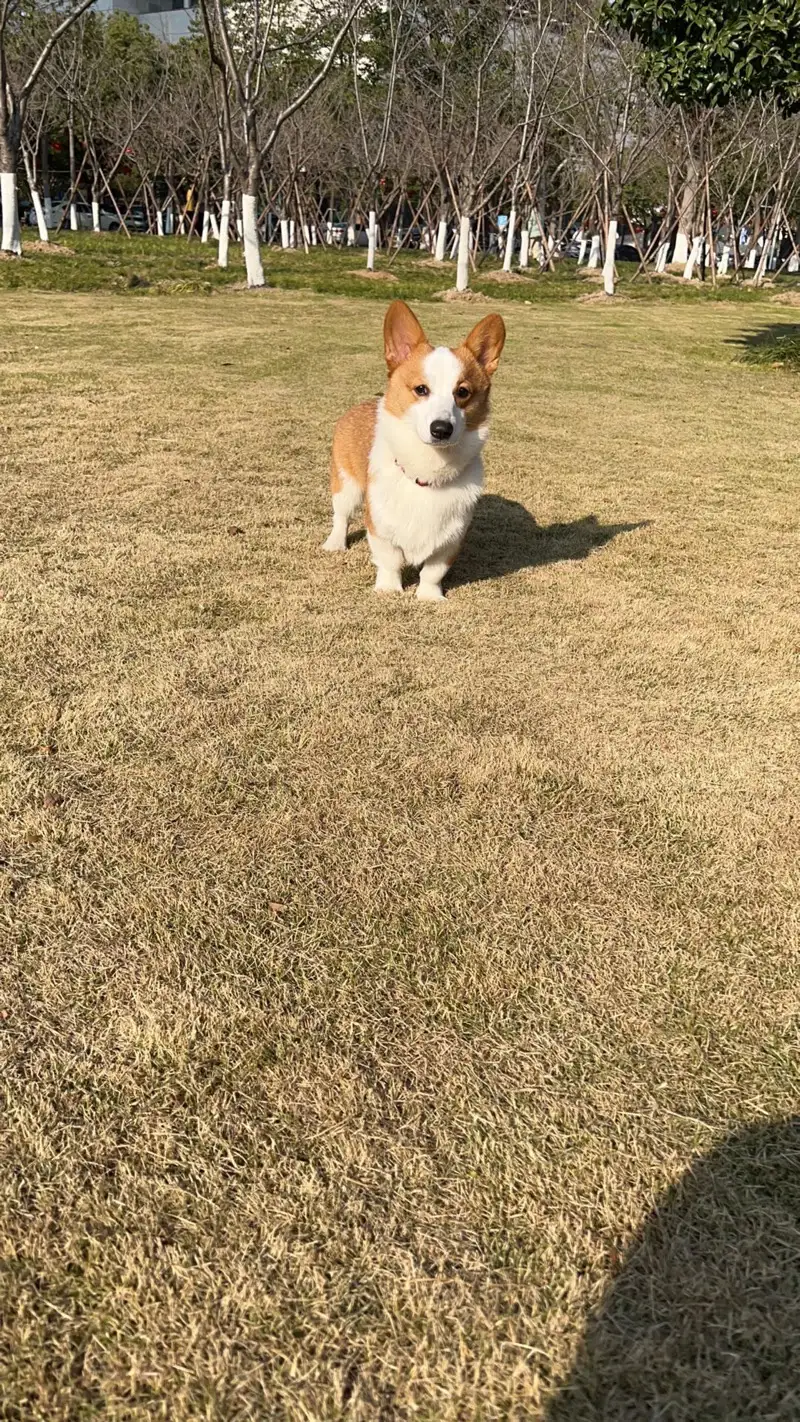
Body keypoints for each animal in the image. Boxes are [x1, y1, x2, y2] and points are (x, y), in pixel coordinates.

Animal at [321, 301, 503, 600]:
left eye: (463, 392)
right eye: (421, 389)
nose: (441, 429)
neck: (427, 472)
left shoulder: (451, 538)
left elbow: (433, 570)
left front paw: (429, 596)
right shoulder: (380, 526)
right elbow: (390, 560)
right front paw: (388, 589)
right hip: (346, 485)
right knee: (342, 515)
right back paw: (335, 543)